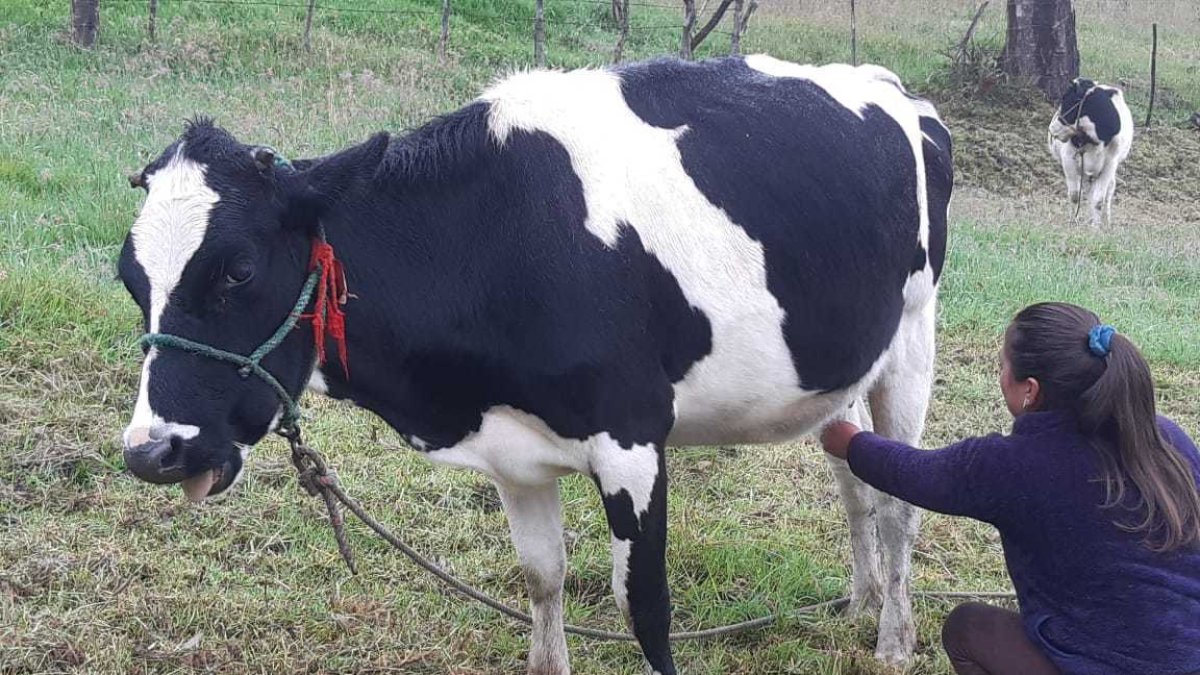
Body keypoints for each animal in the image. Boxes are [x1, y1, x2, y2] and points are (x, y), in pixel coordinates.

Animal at [118, 55, 953, 674]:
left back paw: (895, 640)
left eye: (237, 270)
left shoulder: (632, 438)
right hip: (840, 370)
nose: (151, 452)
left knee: (900, 502)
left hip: (912, 342)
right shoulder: (511, 452)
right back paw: (860, 597)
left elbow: (644, 605)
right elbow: (541, 577)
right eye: (131, 279)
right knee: (854, 474)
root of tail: (888, 85)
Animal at [1048, 78, 1134, 227]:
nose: (1052, 128)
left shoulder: (1110, 165)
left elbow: (1098, 200)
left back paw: (1106, 220)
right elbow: (1074, 195)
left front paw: (1096, 226)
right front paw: (1073, 221)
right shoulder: (1068, 159)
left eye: (1067, 98)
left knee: (1108, 190)